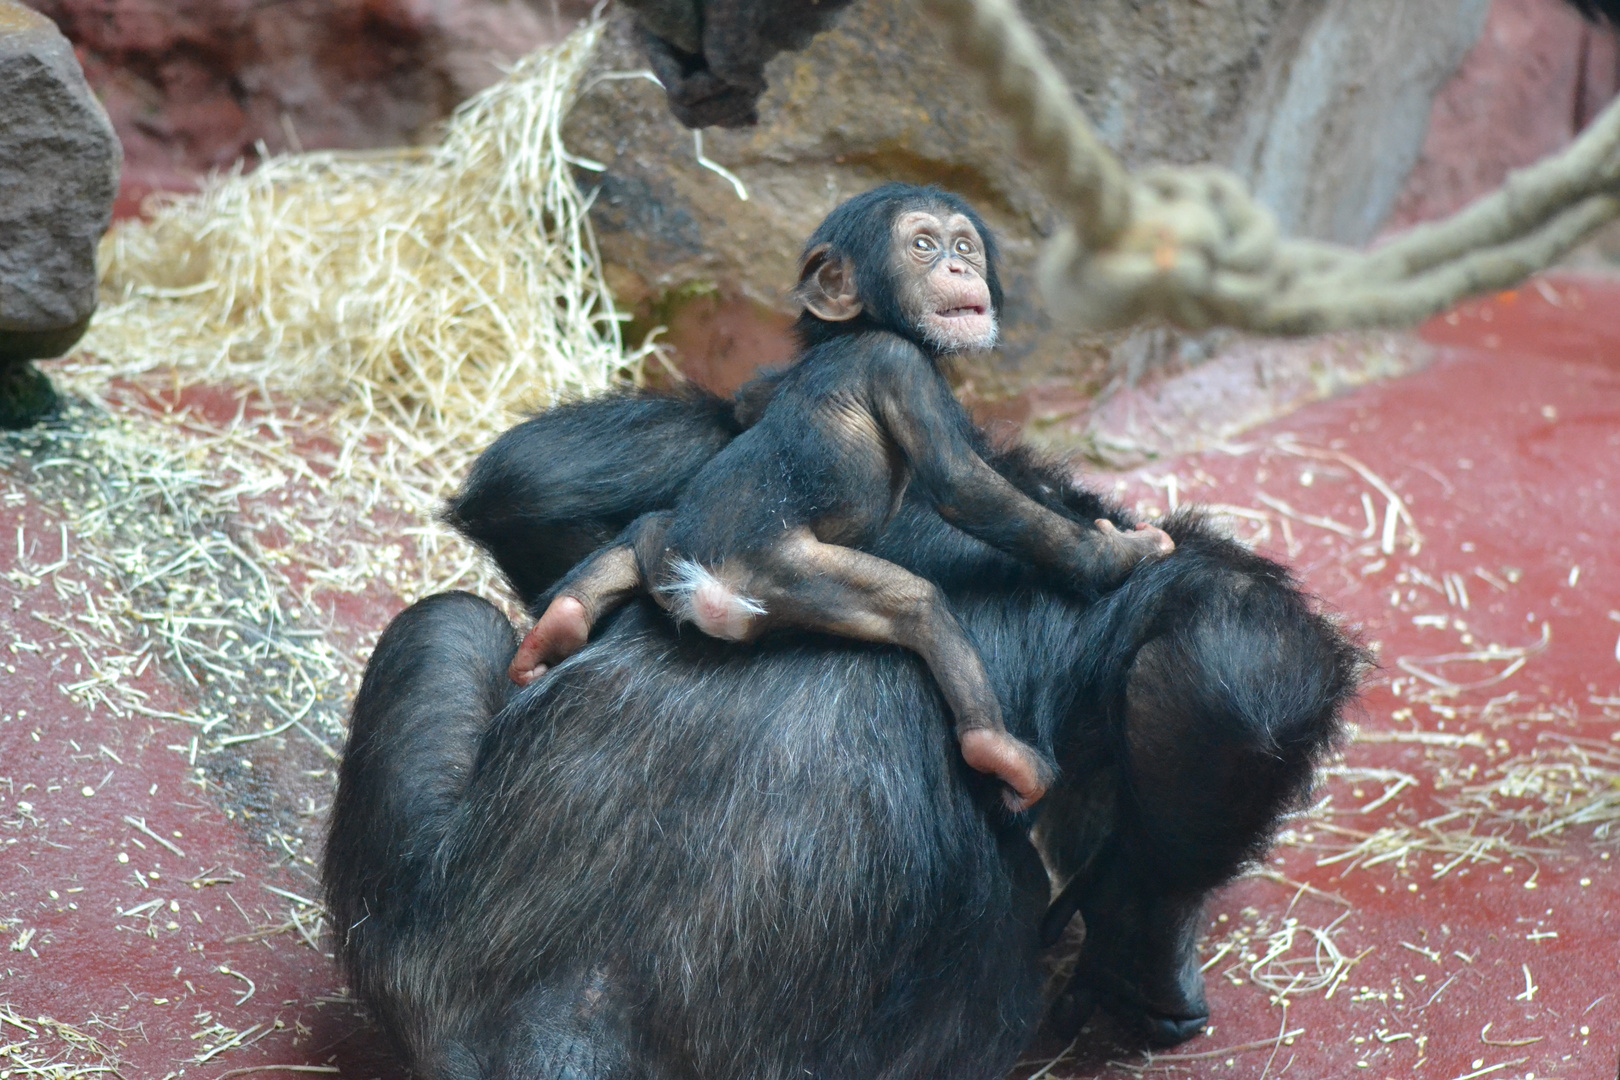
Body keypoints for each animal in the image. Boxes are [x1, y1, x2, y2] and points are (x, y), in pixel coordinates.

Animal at [328, 401, 1367, 1075]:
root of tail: (562, 1032)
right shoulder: (1147, 577)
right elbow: (1231, 675)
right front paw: (1142, 944)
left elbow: (536, 480)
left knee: (446, 618)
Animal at [502, 186, 1166, 809]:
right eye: (923, 245)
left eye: (965, 245)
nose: (958, 267)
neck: (869, 327)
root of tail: (701, 587)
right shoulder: (902, 367)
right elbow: (964, 485)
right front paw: (1119, 554)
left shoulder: (770, 384)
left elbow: (745, 407)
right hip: (786, 575)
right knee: (916, 604)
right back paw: (1000, 751)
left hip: (669, 549)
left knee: (639, 537)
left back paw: (557, 627)